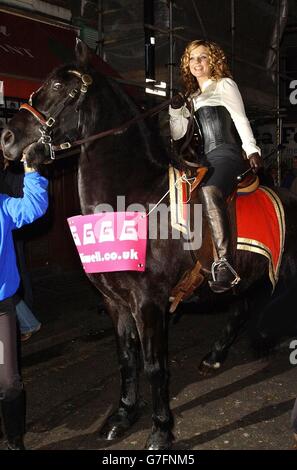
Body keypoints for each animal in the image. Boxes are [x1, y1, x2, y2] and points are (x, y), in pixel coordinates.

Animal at [1, 40, 296, 448]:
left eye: (59, 87)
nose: (7, 139)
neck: (133, 197)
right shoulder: (116, 302)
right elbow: (127, 360)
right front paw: (122, 416)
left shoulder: (149, 302)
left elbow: (155, 366)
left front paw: (160, 430)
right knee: (241, 306)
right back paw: (216, 357)